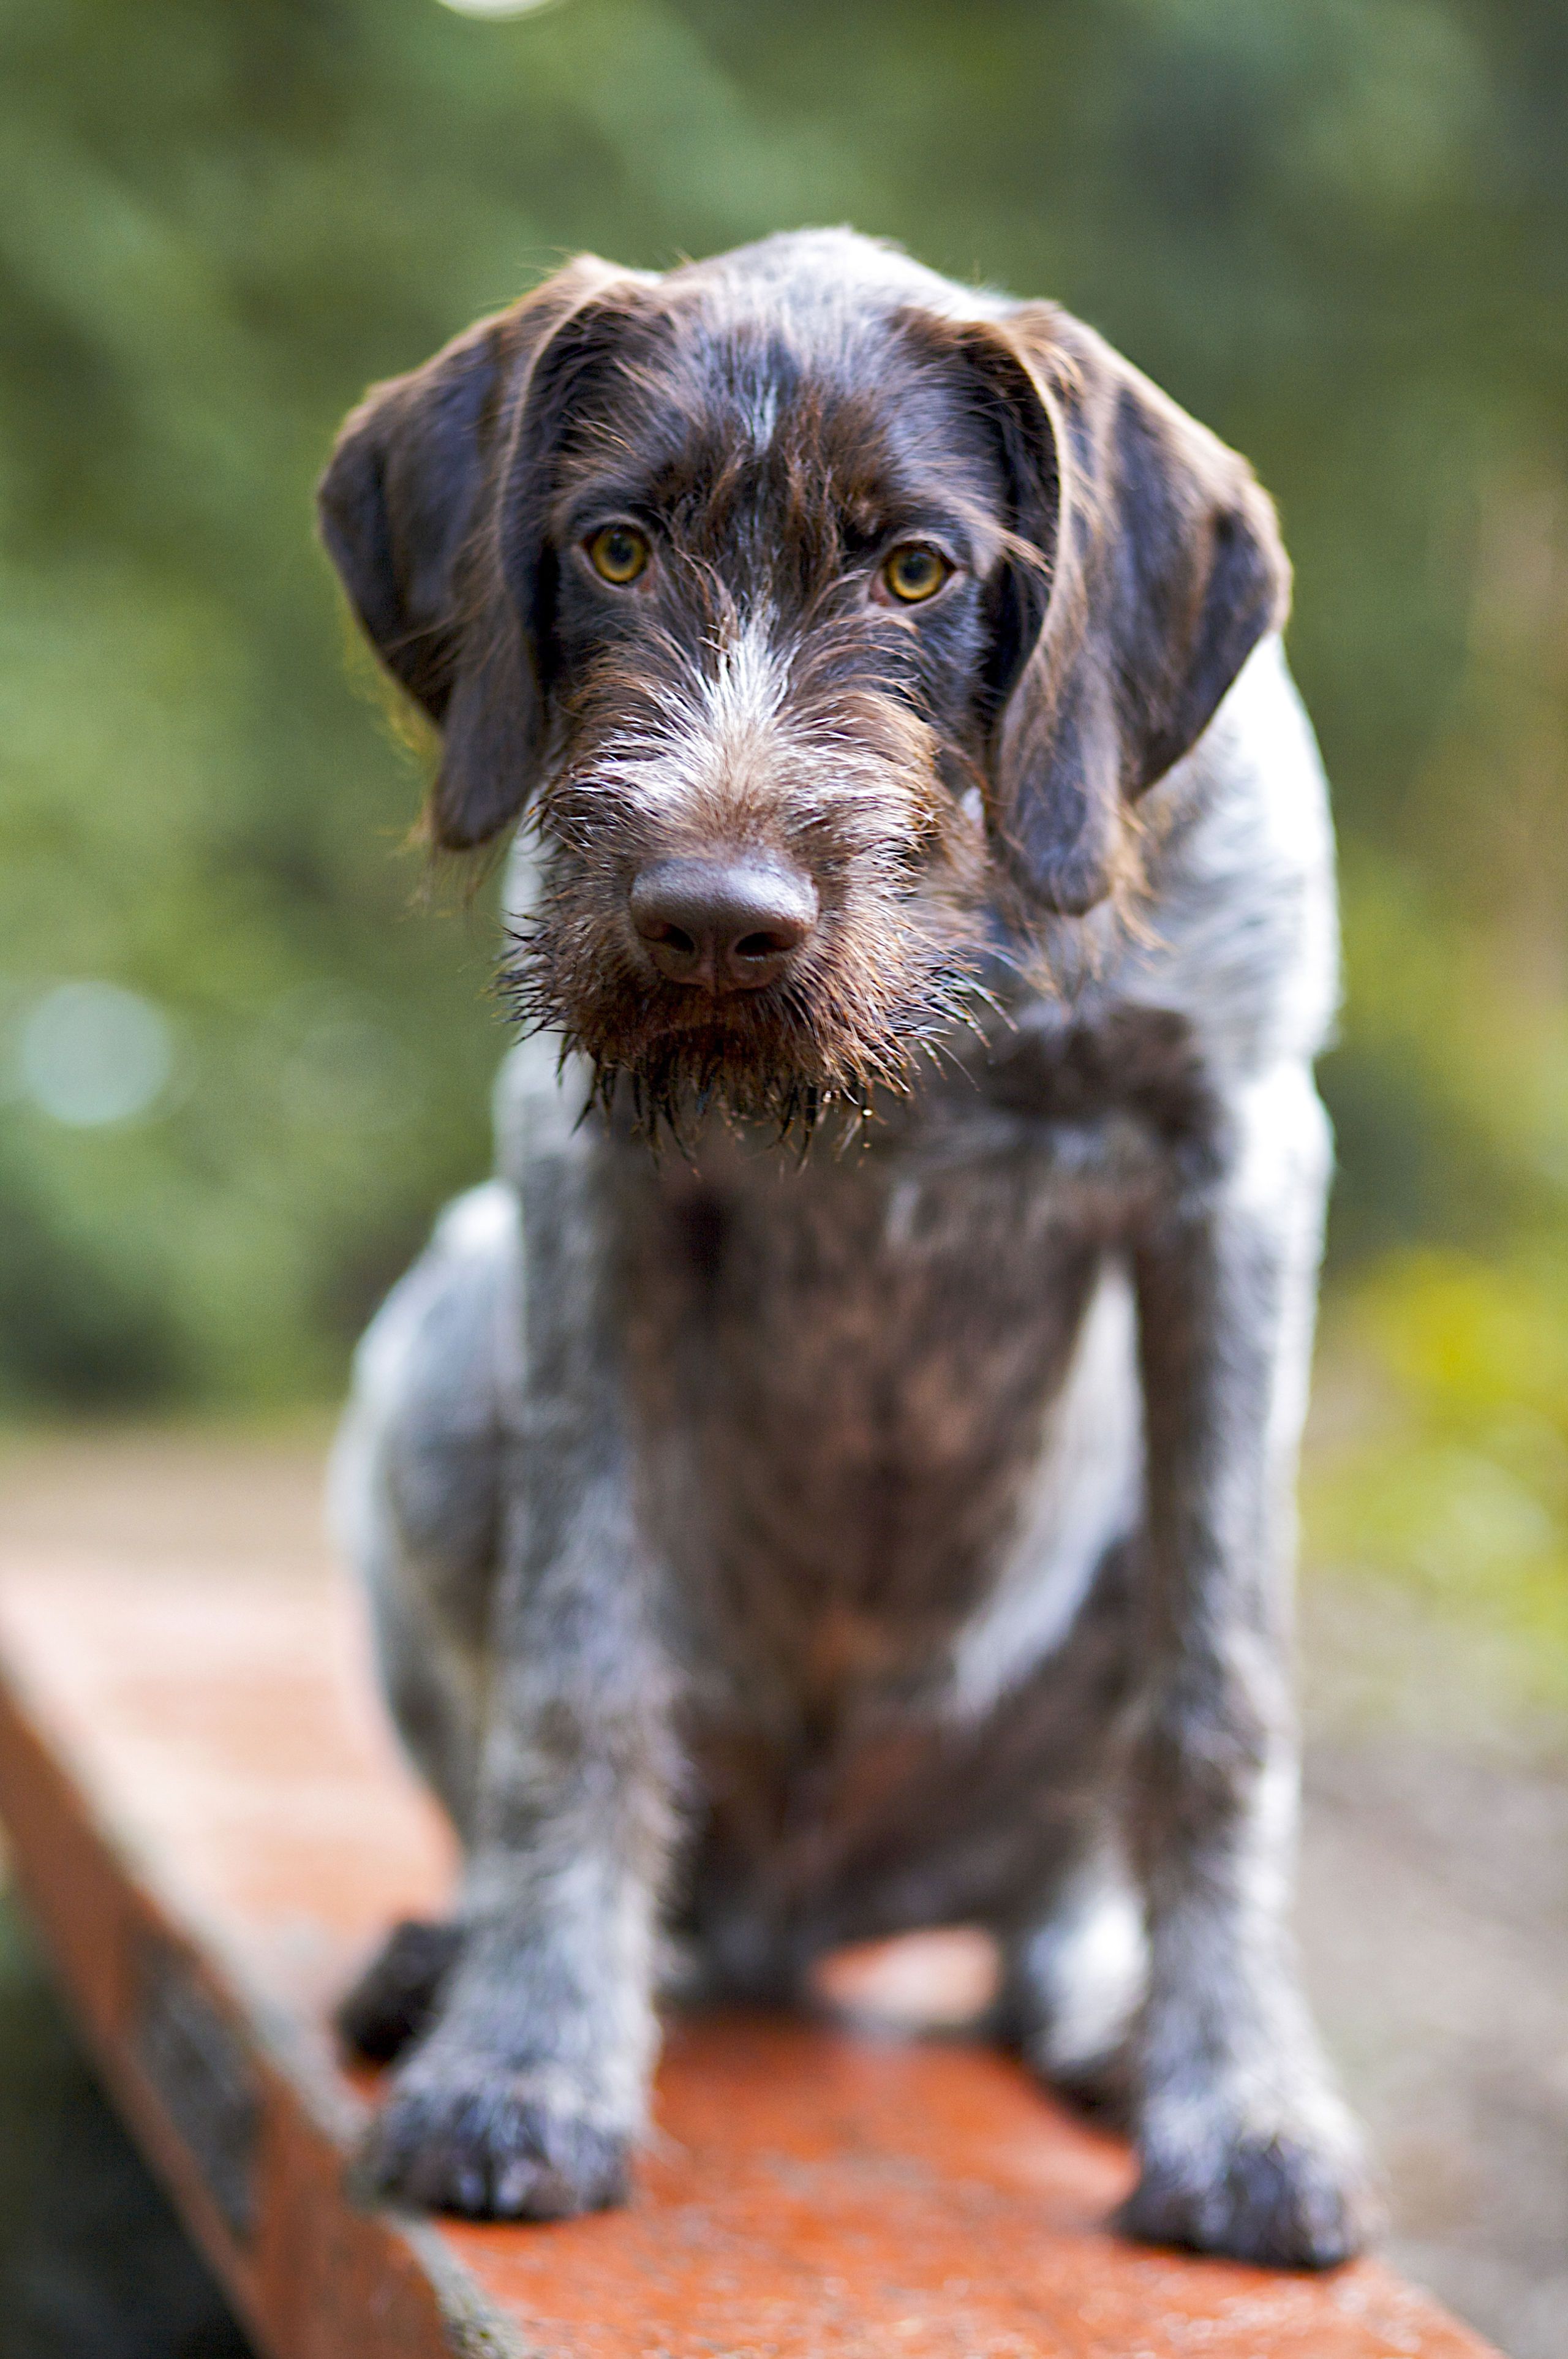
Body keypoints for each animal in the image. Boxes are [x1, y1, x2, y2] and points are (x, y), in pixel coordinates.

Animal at [320, 225, 1367, 2264]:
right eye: (614, 547)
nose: (712, 923)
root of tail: (800, 1921)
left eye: (915, 570)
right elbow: (576, 1671)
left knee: (1056, 1891)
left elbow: (1219, 1698)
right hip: (450, 1337)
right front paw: (526, 2057)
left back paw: (1108, 2016)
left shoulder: (1236, 1171)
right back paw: (465, 1953)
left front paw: (1244, 2105)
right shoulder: (584, 1181)